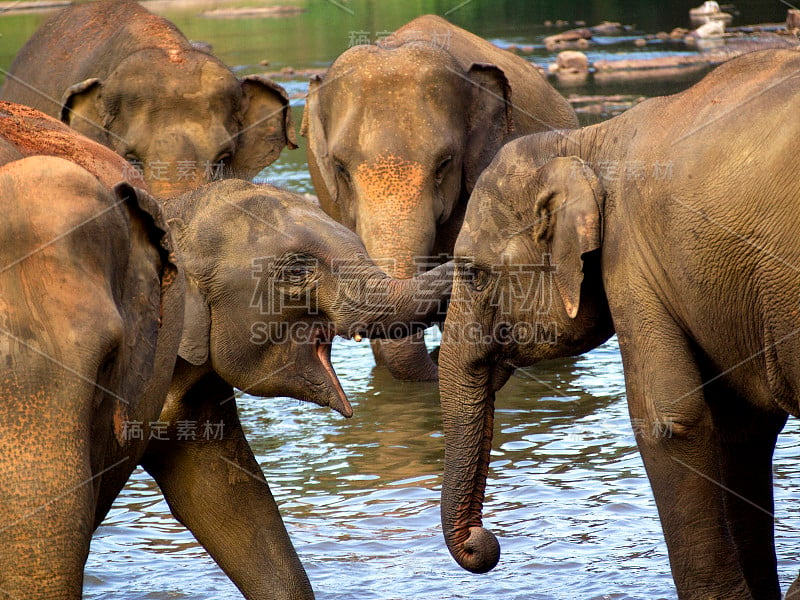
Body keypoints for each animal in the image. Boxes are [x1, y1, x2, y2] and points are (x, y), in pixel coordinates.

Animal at [440, 48, 800, 600]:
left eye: (473, 274)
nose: (487, 542)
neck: (590, 142)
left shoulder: (631, 259)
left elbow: (667, 421)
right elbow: (743, 425)